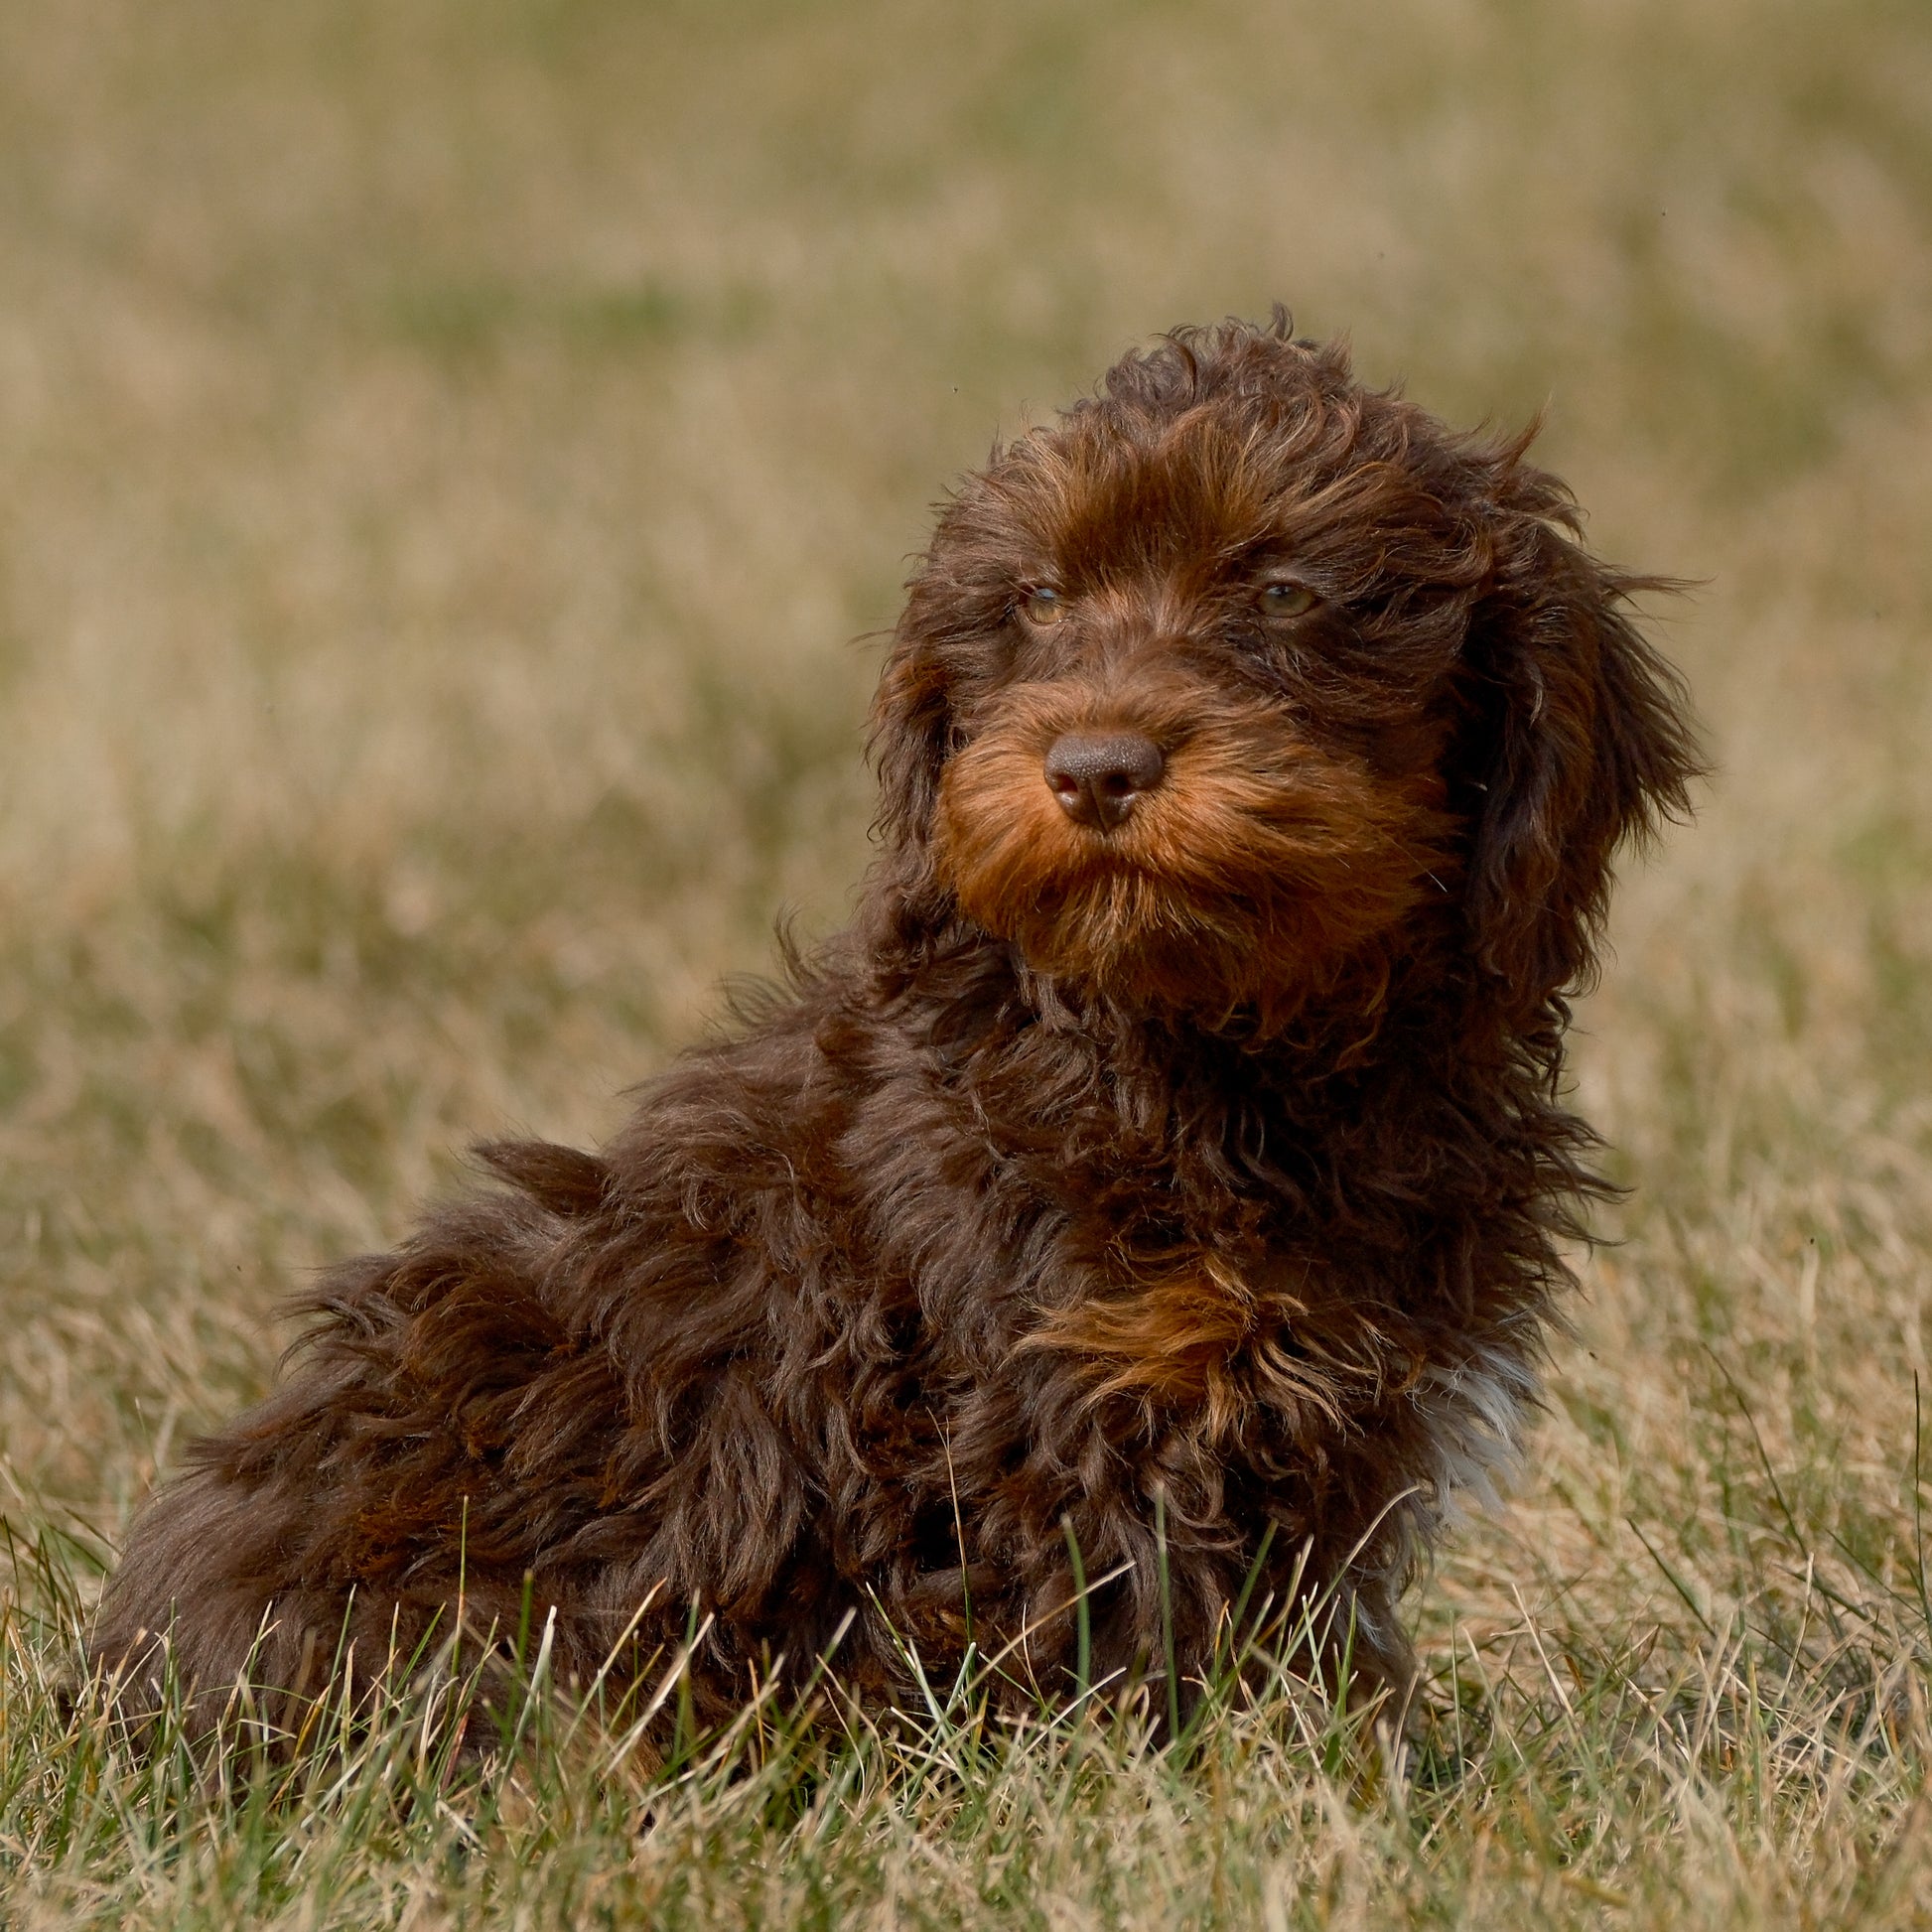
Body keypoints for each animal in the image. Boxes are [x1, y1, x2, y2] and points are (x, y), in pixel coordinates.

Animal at [90, 313, 1700, 1738]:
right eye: (1037, 603)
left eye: (1289, 594)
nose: (1095, 765)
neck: (1202, 1036)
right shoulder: (1073, 1405)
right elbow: (1146, 1647)